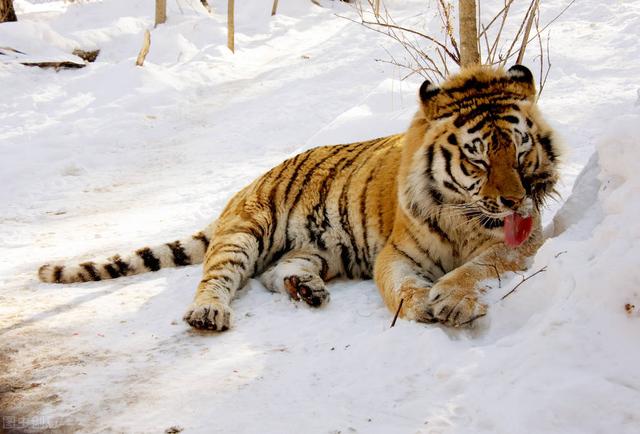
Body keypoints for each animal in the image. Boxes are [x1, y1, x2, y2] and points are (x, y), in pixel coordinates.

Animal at [38, 63, 560, 328]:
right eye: (477, 161)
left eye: (520, 152)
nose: (513, 202)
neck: (465, 216)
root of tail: (246, 186)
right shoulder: (396, 253)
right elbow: (402, 285)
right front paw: (421, 305)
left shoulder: (522, 242)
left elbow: (475, 268)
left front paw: (449, 299)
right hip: (245, 233)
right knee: (217, 278)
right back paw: (208, 312)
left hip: (321, 248)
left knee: (278, 272)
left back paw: (305, 289)